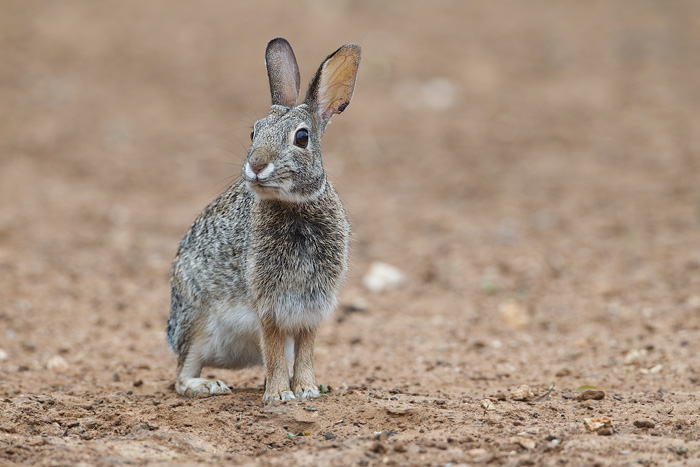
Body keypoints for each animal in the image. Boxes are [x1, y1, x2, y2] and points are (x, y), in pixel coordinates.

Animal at [165, 38, 360, 404]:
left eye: (302, 137)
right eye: (254, 132)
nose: (255, 165)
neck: (295, 205)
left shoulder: (312, 304)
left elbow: (306, 348)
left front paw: (307, 389)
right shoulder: (268, 301)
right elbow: (272, 345)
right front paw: (280, 396)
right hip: (196, 321)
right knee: (182, 375)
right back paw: (209, 384)